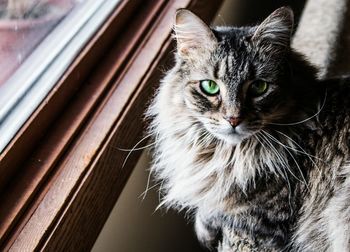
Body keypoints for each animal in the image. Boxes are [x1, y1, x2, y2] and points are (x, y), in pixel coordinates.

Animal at [145, 6, 350, 252]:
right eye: (210, 86)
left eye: (258, 87)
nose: (233, 119)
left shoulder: (261, 223)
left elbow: (216, 213)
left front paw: (205, 232)